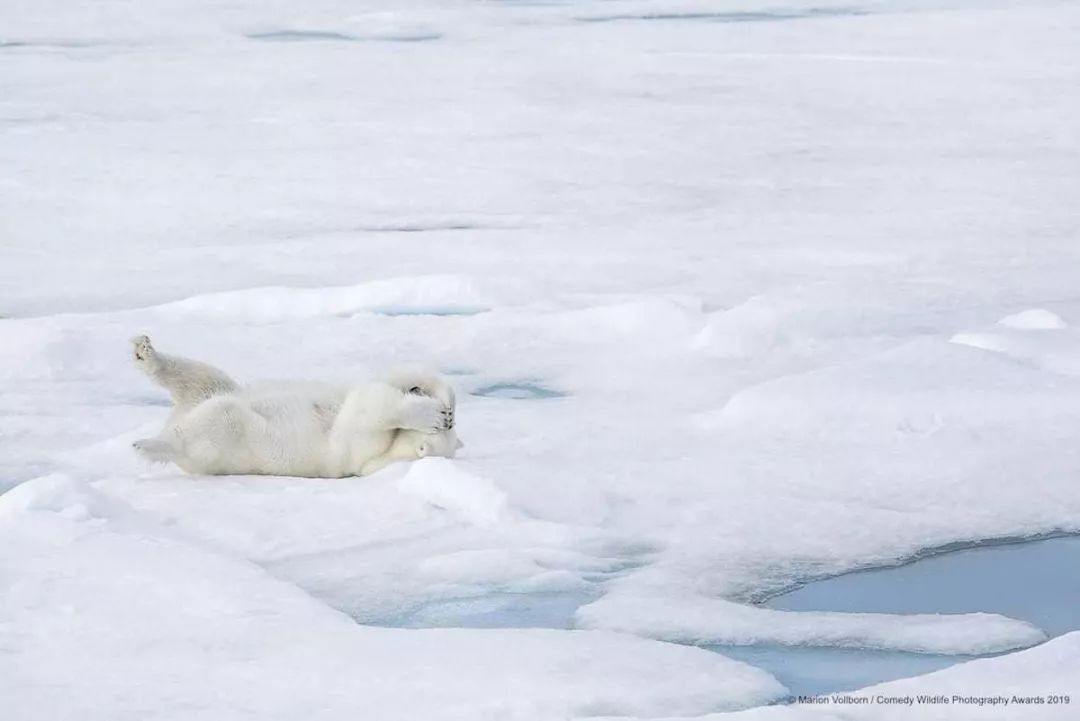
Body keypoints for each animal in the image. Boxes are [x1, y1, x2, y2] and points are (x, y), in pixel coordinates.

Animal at [129, 334, 460, 474]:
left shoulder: (358, 453)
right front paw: (432, 394)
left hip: (228, 441)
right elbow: (386, 381)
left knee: (217, 419)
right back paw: (145, 353)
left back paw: (148, 444)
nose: (447, 419)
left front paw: (429, 414)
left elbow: (367, 411)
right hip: (214, 391)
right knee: (203, 378)